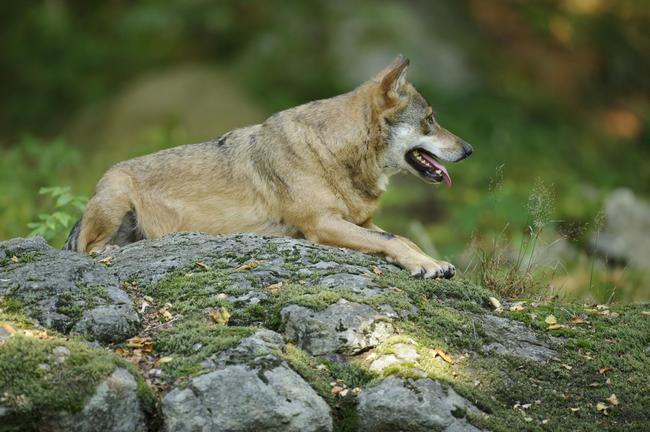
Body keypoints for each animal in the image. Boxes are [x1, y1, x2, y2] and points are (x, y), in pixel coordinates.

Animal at [64, 55, 470, 278]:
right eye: (431, 120)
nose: (469, 149)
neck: (331, 150)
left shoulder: (359, 222)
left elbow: (403, 236)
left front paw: (432, 260)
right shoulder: (322, 224)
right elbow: (394, 238)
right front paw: (426, 265)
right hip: (116, 194)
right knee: (91, 249)